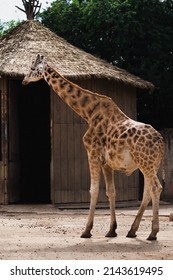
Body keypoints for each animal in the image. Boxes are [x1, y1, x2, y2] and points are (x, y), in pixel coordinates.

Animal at [22, 54, 164, 241]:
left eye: (32, 68)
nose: (24, 81)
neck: (88, 113)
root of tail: (161, 143)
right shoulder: (107, 162)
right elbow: (111, 192)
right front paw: (112, 230)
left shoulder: (92, 154)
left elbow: (94, 190)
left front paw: (86, 230)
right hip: (150, 164)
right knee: (148, 190)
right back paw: (132, 231)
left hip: (146, 163)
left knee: (156, 188)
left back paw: (153, 233)